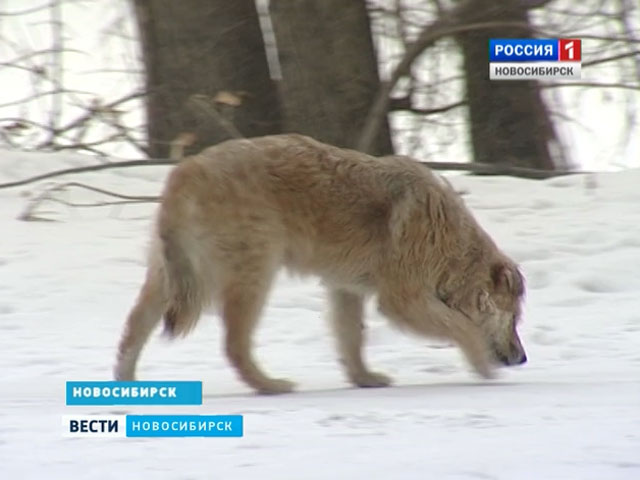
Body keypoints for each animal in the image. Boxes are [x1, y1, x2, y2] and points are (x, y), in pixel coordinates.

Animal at [114, 133, 524, 392]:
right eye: (515, 318)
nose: (522, 359)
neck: (454, 249)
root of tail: (186, 169)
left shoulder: (347, 291)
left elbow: (352, 340)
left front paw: (364, 379)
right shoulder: (402, 302)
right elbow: (464, 328)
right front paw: (482, 367)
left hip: (168, 280)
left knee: (133, 330)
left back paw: (126, 387)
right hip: (253, 277)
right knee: (234, 345)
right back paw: (270, 386)